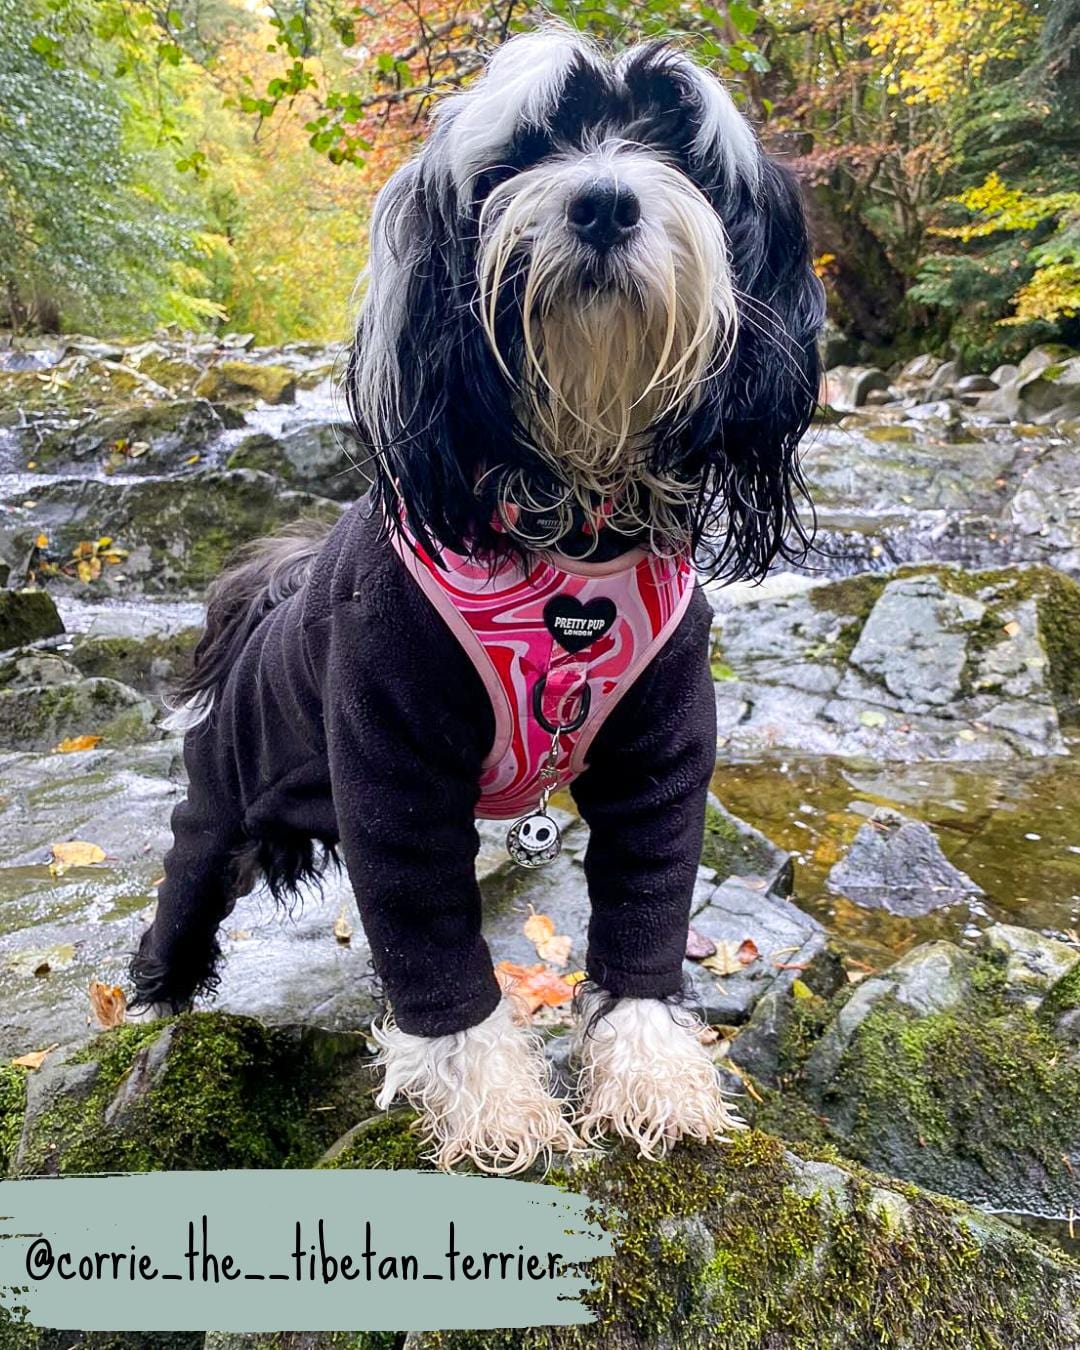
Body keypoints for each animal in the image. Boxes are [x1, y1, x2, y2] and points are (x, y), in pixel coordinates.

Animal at [132, 26, 826, 1177]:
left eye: (676, 141)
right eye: (525, 148)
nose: (604, 203)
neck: (574, 524)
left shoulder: (664, 749)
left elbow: (647, 909)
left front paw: (651, 1074)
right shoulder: (394, 764)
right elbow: (437, 955)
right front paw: (493, 1102)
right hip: (218, 807)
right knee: (185, 895)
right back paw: (150, 1002)